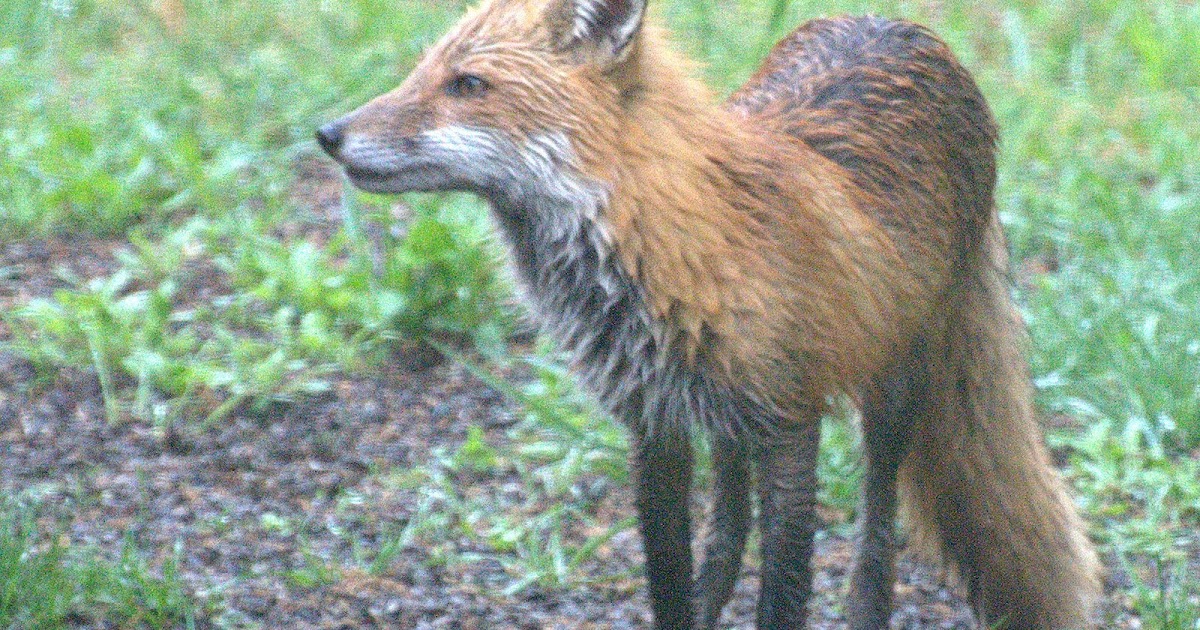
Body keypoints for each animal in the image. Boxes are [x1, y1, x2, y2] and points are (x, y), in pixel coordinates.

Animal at [316, 0, 1101, 628]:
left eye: (468, 85)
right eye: (423, 72)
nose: (329, 133)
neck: (670, 245)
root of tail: (898, 25)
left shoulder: (790, 425)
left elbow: (784, 593)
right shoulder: (655, 426)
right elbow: (673, 581)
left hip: (892, 397)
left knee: (873, 552)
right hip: (727, 428)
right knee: (726, 536)